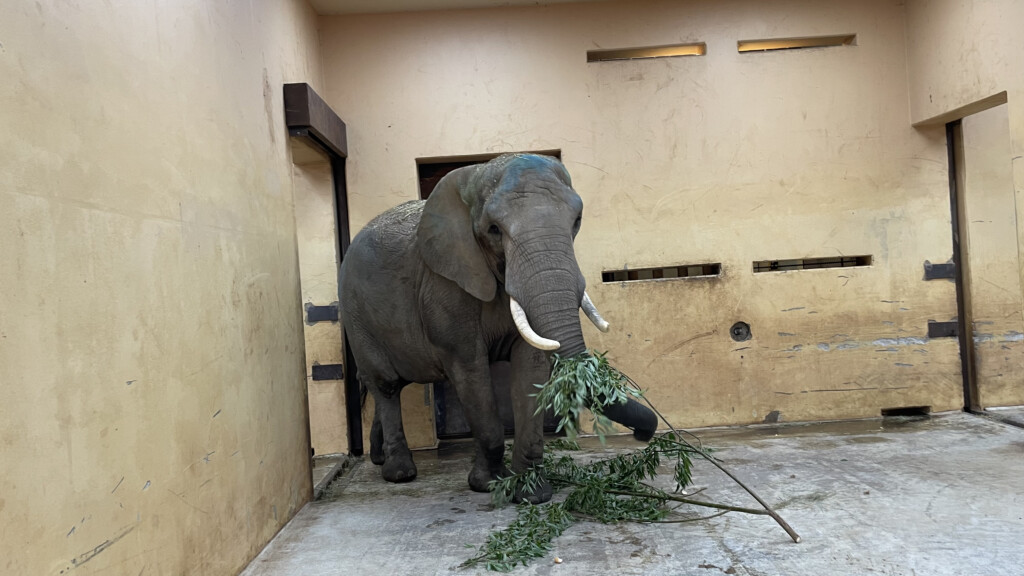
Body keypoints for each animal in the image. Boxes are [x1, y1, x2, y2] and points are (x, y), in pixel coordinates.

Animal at [335, 152, 655, 502]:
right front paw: (488, 484)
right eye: (494, 230)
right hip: (355, 313)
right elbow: (469, 368)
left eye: (577, 221)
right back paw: (399, 474)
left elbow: (530, 369)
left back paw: (380, 461)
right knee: (386, 384)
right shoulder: (444, 283)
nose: (643, 435)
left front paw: (530, 493)